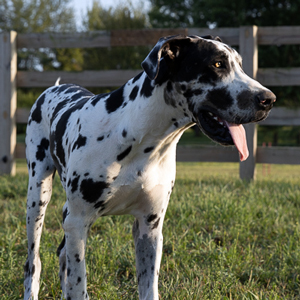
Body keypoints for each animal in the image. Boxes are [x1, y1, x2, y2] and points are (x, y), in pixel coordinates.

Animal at [24, 34, 276, 298]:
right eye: (217, 64)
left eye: (240, 64)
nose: (269, 99)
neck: (141, 138)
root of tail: (54, 88)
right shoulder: (79, 222)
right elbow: (78, 283)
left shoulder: (150, 227)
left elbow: (148, 288)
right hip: (37, 200)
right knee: (34, 261)